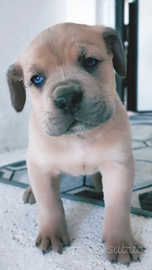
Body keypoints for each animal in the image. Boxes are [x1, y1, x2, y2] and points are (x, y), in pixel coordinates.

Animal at [7, 23, 143, 264]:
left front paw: (120, 241)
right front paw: (52, 232)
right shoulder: (41, 168)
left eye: (90, 62)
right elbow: (49, 203)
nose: (67, 98)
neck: (78, 137)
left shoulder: (118, 166)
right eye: (37, 79)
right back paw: (31, 191)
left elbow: (118, 206)